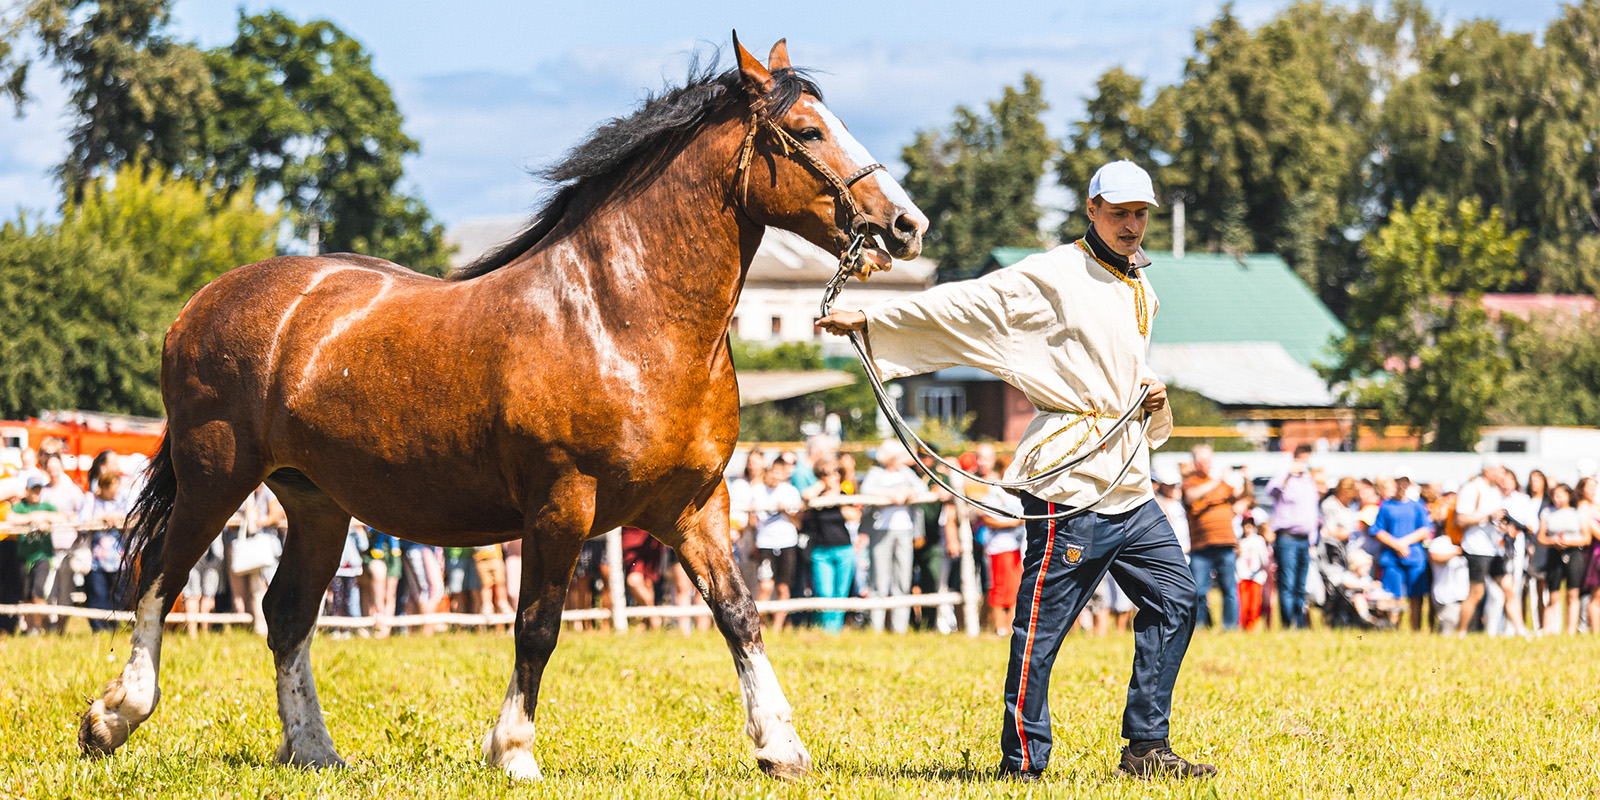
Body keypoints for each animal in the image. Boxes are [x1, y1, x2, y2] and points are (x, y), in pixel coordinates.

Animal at [78, 36, 928, 780]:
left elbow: (740, 614)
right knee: (157, 579)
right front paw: (513, 751)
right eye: (808, 131)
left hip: (316, 502)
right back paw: (112, 718)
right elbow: (538, 626)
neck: (621, 318)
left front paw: (780, 746)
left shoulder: (696, 505)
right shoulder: (561, 503)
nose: (906, 225)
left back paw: (314, 749)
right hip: (215, 477)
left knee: (286, 615)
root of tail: (201, 305)